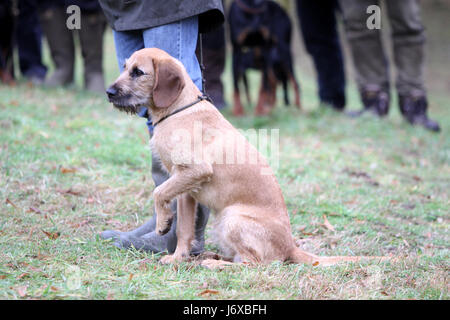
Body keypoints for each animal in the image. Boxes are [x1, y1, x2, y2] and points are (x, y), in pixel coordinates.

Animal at [106, 47, 386, 266]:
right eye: (125, 67)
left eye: (138, 72)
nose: (109, 92)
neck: (180, 109)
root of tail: (290, 247)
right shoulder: (186, 189)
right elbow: (184, 229)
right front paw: (177, 257)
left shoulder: (195, 171)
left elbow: (158, 193)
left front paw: (163, 223)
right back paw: (211, 256)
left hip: (231, 218)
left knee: (255, 263)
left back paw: (215, 264)